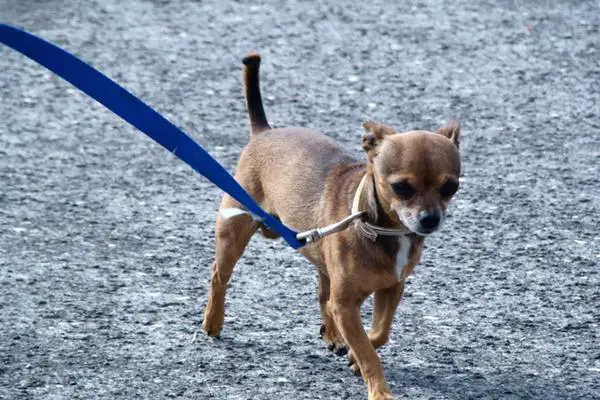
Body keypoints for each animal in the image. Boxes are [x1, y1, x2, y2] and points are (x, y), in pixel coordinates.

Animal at [204, 54, 462, 400]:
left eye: (451, 187)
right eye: (401, 188)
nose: (430, 219)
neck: (382, 229)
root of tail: (263, 132)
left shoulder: (391, 288)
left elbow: (378, 333)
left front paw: (353, 355)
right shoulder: (346, 304)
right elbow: (369, 351)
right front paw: (379, 390)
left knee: (322, 292)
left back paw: (333, 335)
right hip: (233, 230)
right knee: (219, 275)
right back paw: (213, 322)